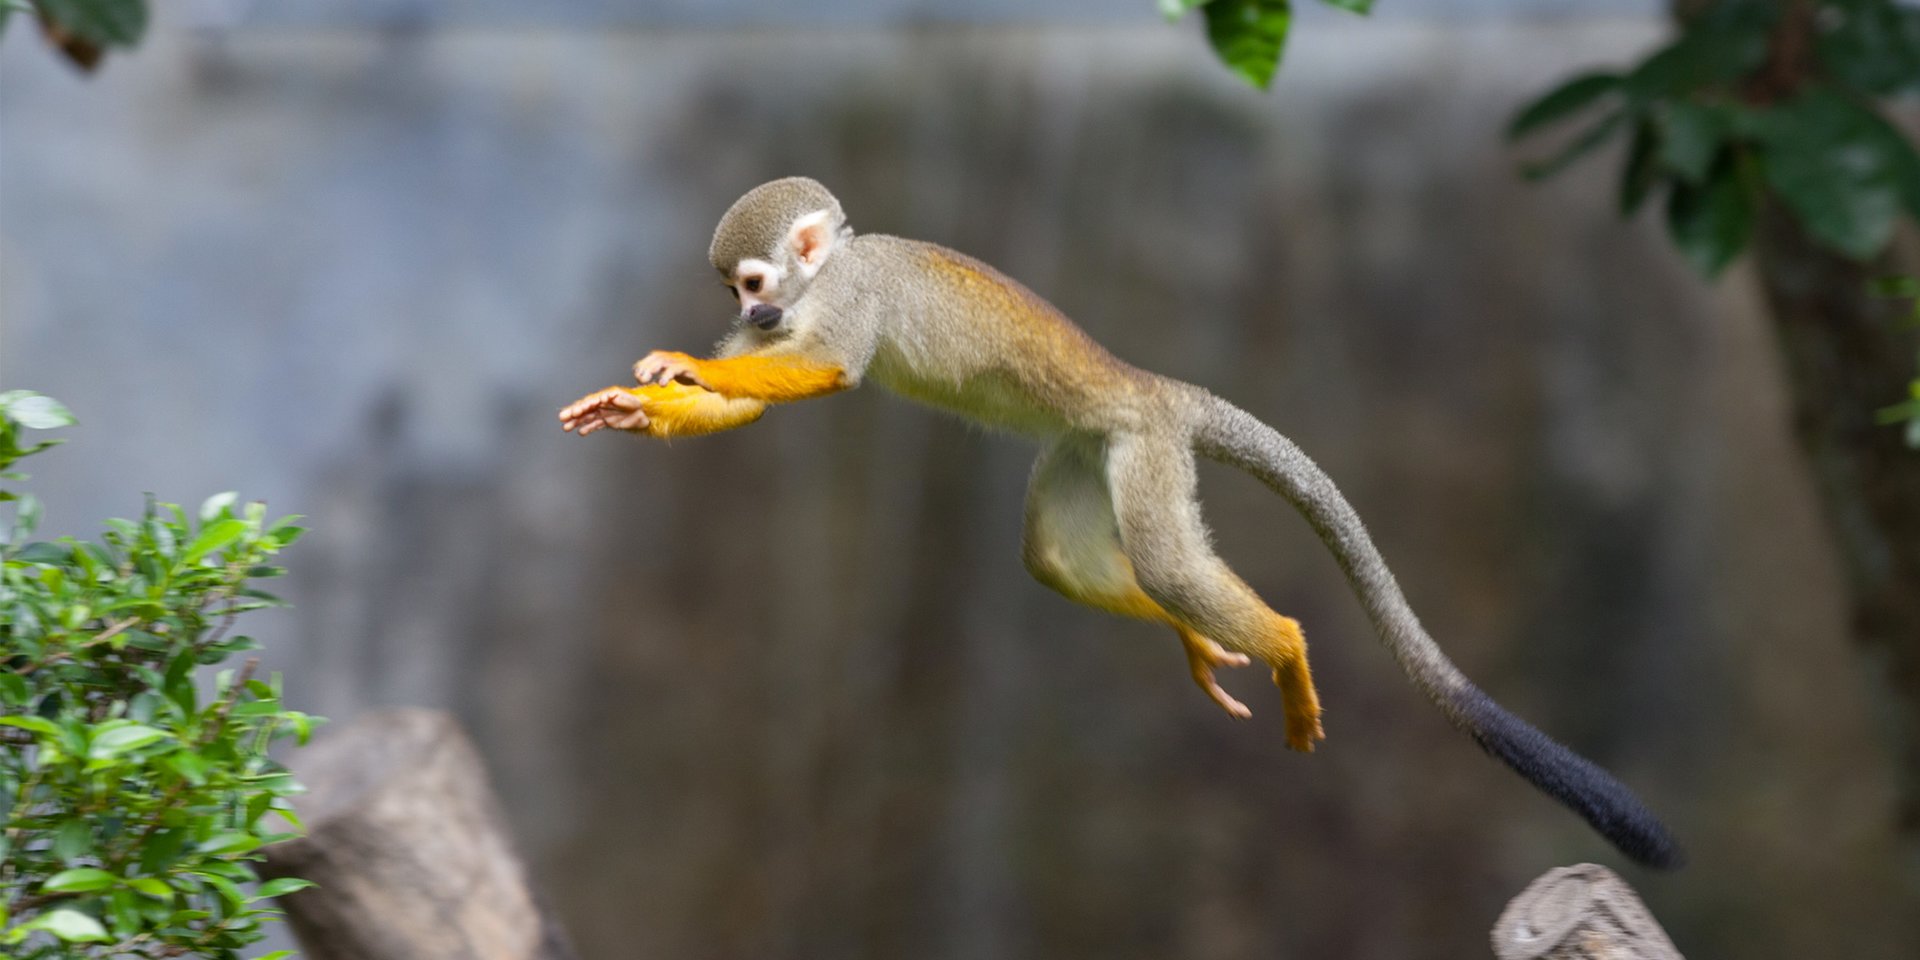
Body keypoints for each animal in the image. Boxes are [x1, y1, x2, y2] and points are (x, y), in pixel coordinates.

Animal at [556, 176, 1681, 867]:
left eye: (752, 281)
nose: (748, 316)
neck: (826, 272)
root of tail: (1153, 387)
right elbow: (753, 396)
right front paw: (646, 401)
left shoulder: (852, 296)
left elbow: (827, 369)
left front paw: (680, 368)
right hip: (1082, 446)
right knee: (1055, 557)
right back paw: (1188, 636)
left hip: (1144, 452)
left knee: (1173, 564)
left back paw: (1282, 646)